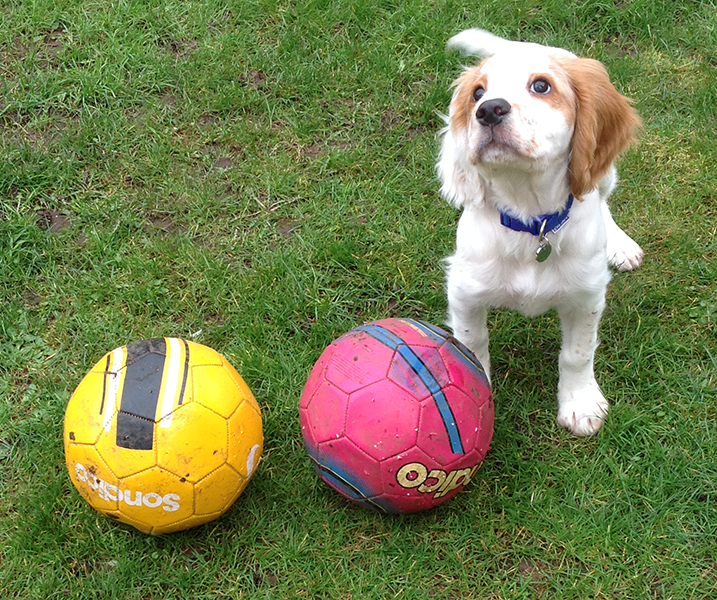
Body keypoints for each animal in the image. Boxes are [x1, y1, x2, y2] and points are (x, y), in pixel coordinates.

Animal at [436, 29, 644, 436]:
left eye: (541, 86)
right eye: (477, 93)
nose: (488, 110)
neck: (531, 222)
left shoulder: (587, 295)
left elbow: (578, 352)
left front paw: (580, 403)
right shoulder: (465, 291)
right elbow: (472, 344)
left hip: (602, 173)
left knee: (600, 195)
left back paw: (620, 244)